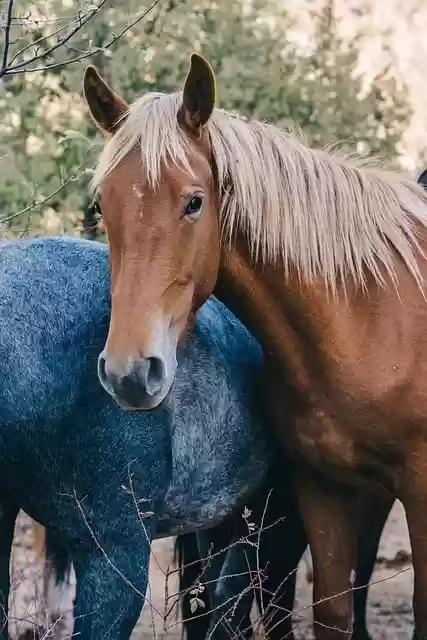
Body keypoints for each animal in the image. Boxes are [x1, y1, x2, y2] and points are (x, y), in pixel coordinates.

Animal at [83, 53, 427, 639]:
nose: (129, 372)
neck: (370, 317)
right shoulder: (322, 490)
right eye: (103, 207)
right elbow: (331, 611)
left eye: (194, 203)